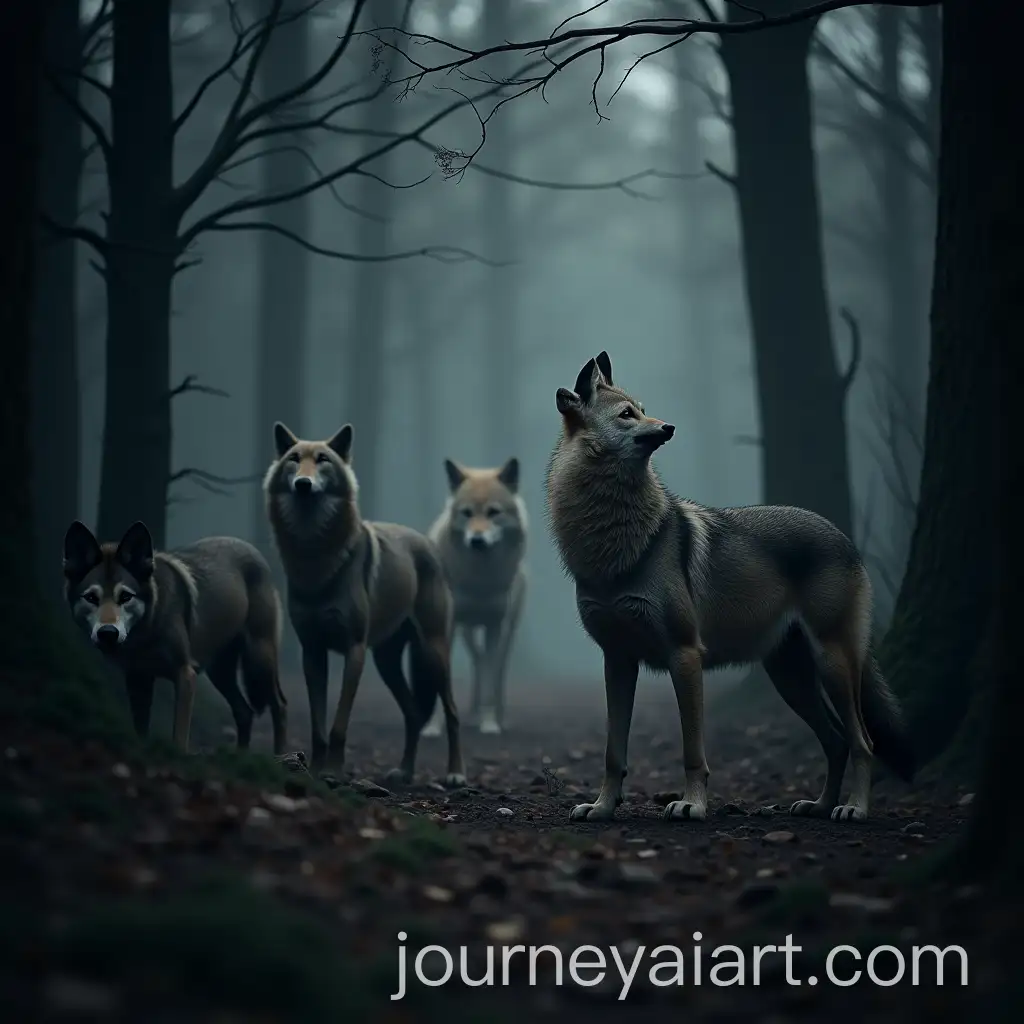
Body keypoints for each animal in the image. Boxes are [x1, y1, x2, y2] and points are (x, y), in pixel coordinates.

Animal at [62, 520, 288, 754]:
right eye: (91, 598)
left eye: (125, 596)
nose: (108, 633)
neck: (147, 632)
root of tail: (252, 548)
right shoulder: (137, 679)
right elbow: (141, 731)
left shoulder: (185, 674)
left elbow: (179, 735)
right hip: (219, 673)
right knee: (245, 712)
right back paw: (241, 756)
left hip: (258, 662)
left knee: (279, 705)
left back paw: (281, 756)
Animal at [263, 421, 466, 785]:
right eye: (294, 459)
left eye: (323, 460)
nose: (303, 484)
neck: (315, 557)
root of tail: (427, 543)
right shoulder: (312, 652)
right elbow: (318, 726)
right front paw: (316, 771)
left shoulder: (353, 649)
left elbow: (339, 724)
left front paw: (333, 772)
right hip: (386, 663)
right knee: (414, 713)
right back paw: (404, 771)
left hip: (433, 653)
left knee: (452, 713)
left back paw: (455, 774)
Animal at [421, 457, 527, 737]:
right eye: (467, 513)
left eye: (493, 512)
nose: (477, 540)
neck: (479, 579)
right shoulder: (447, 626)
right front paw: (433, 728)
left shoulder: (494, 626)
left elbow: (490, 678)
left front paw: (489, 725)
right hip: (465, 629)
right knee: (478, 663)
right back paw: (471, 713)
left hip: (507, 632)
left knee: (496, 669)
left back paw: (496, 715)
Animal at [545, 351, 915, 825]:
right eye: (627, 414)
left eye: (644, 409)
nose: (669, 427)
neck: (616, 543)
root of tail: (842, 535)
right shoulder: (618, 661)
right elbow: (614, 752)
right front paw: (602, 807)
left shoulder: (685, 655)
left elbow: (692, 751)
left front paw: (692, 805)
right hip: (789, 677)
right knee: (835, 741)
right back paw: (818, 806)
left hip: (832, 664)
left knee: (862, 741)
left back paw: (853, 809)